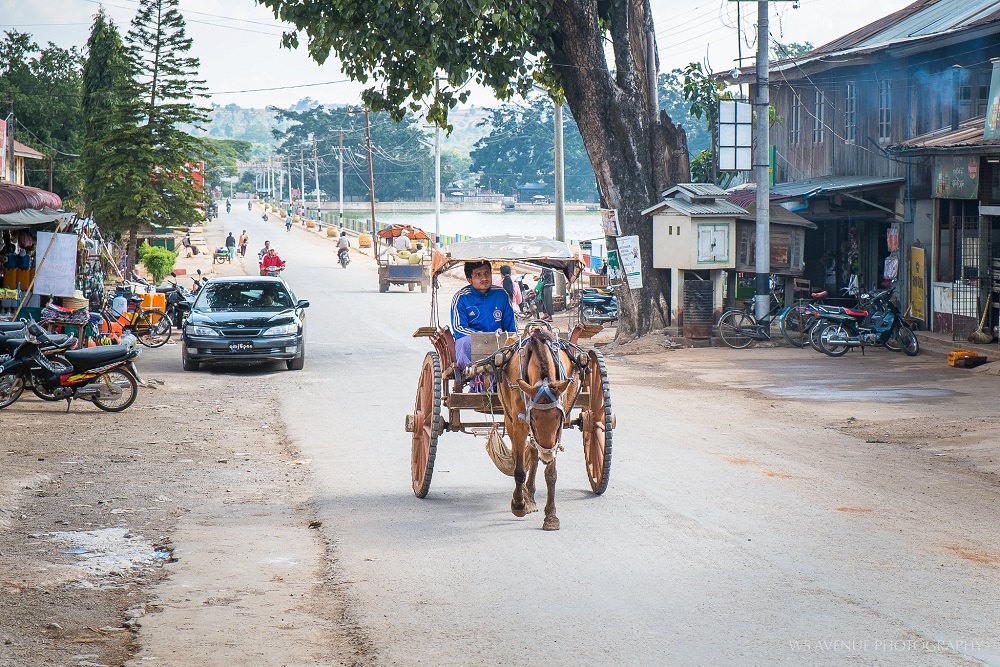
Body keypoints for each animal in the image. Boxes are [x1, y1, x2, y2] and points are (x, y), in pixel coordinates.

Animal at [498, 328, 580, 532]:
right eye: (534, 418)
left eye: (558, 418)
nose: (547, 454)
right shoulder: (520, 423)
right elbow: (519, 470)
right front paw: (519, 504)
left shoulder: (556, 432)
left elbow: (551, 474)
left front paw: (551, 516)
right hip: (509, 419)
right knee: (518, 456)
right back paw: (525, 497)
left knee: (535, 454)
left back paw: (531, 494)